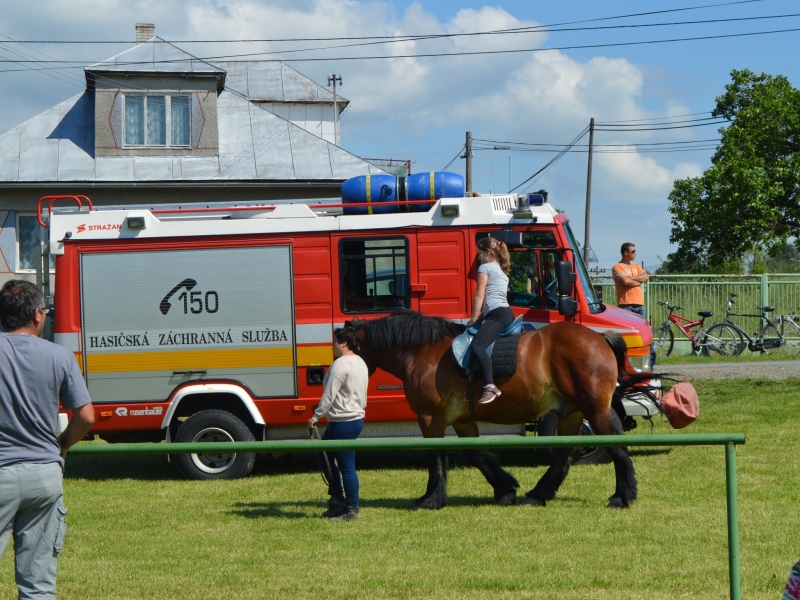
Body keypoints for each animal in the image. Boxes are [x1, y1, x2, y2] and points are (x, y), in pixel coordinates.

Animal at [348, 310, 648, 510]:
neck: (423, 353)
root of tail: (600, 338)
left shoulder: (430, 418)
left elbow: (435, 457)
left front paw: (430, 499)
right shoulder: (462, 419)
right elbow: (476, 453)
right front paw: (505, 489)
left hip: (594, 409)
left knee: (616, 449)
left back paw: (621, 497)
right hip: (572, 412)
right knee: (564, 456)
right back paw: (539, 494)